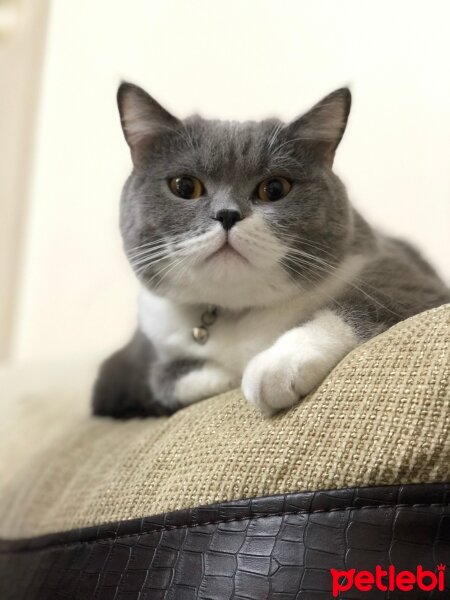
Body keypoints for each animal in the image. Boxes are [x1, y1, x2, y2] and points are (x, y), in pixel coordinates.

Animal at [92, 83, 450, 418]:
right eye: (184, 186)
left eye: (275, 188)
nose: (227, 215)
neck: (235, 312)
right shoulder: (126, 364)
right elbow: (157, 379)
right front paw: (222, 376)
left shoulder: (410, 281)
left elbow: (358, 305)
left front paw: (277, 367)